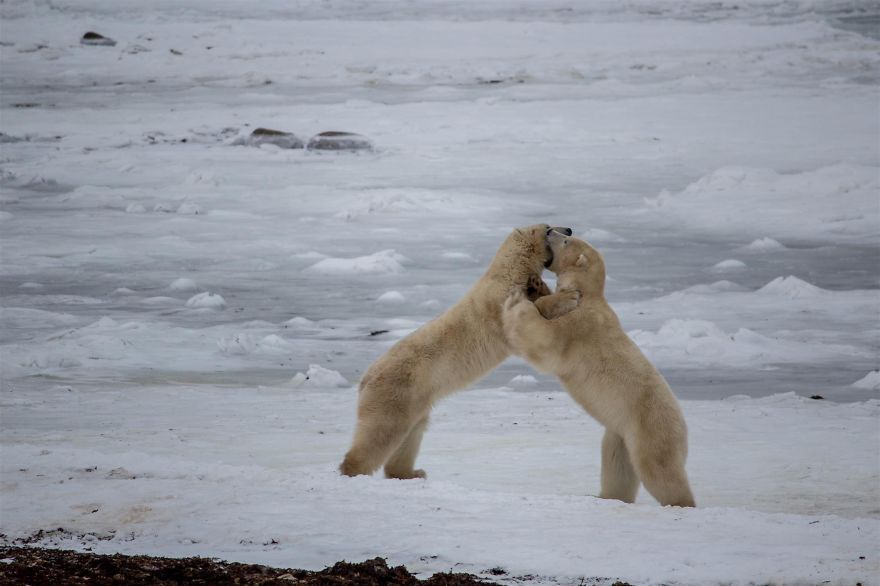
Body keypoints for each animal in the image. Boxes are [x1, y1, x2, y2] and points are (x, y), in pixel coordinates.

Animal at [340, 224, 572, 479]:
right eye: (548, 228)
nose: (569, 229)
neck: (508, 271)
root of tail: (365, 378)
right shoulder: (498, 303)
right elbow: (524, 317)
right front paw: (568, 296)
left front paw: (542, 287)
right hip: (395, 392)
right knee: (381, 432)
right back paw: (353, 471)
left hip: (414, 401)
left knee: (411, 434)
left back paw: (412, 472)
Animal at [502, 231, 696, 507]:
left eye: (565, 241)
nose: (551, 230)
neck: (589, 294)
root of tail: (683, 426)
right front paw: (536, 287)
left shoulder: (578, 325)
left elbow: (544, 342)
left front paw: (519, 303)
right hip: (621, 433)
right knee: (617, 462)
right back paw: (604, 496)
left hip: (652, 427)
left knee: (660, 470)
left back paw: (680, 503)